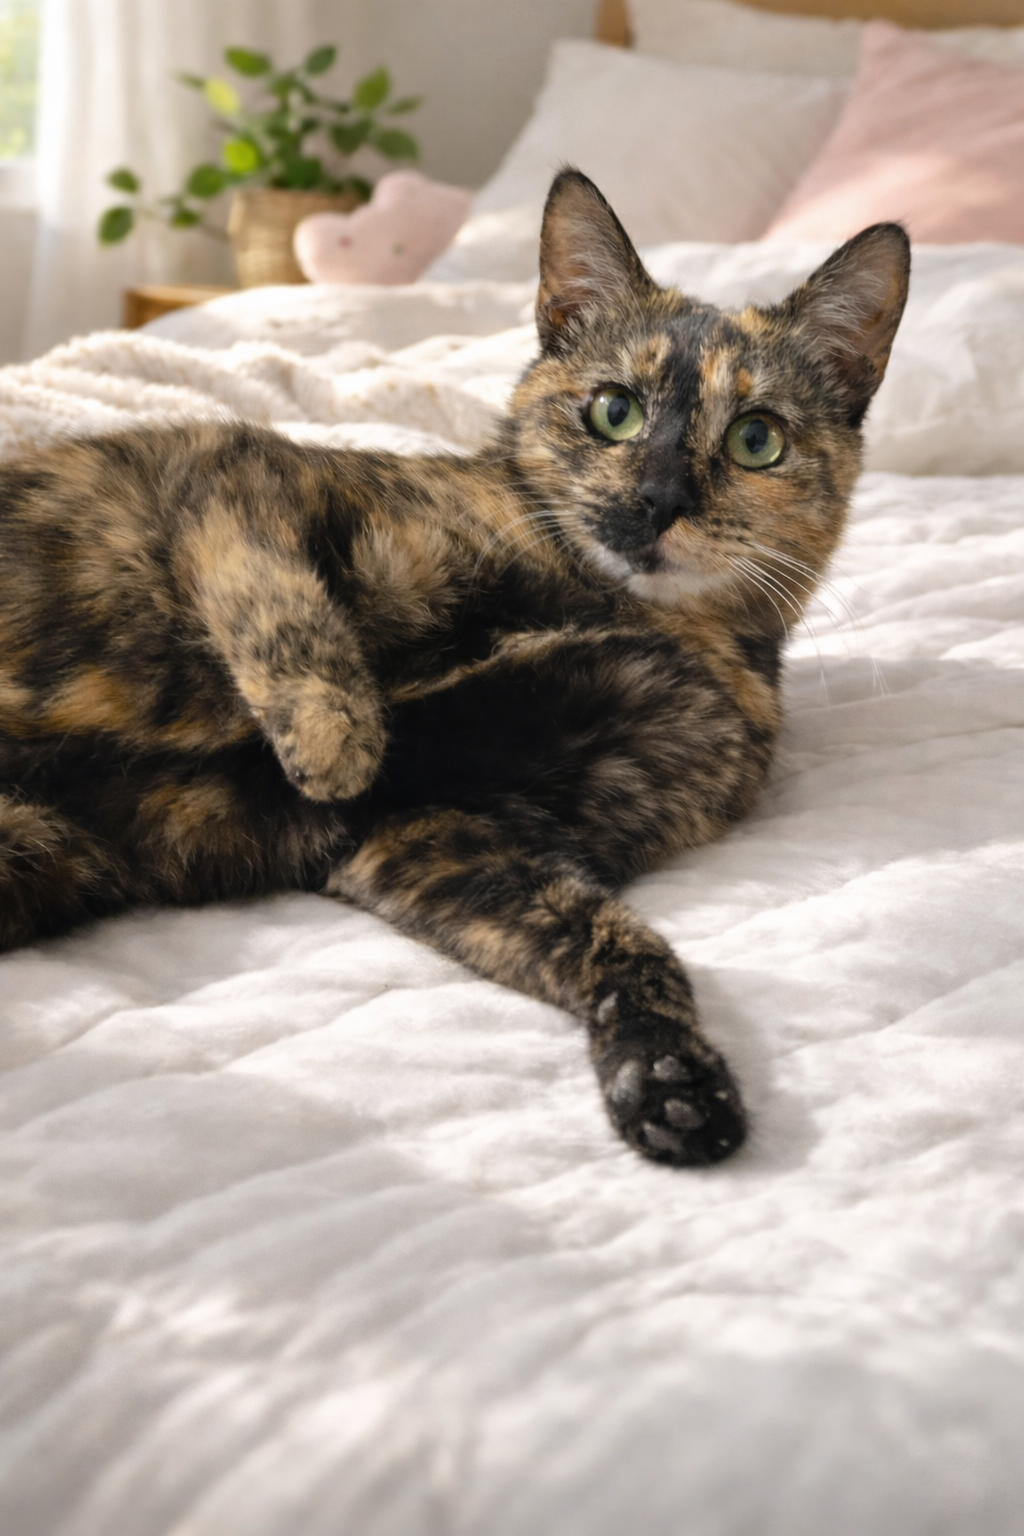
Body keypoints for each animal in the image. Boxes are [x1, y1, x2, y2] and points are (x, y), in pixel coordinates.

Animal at [0, 170, 910, 1166]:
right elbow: (287, 611)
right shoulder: (236, 473)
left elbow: (618, 941)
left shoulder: (437, 834)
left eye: (756, 440)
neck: (629, 612)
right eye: (614, 411)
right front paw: (336, 747)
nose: (658, 499)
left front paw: (671, 1081)